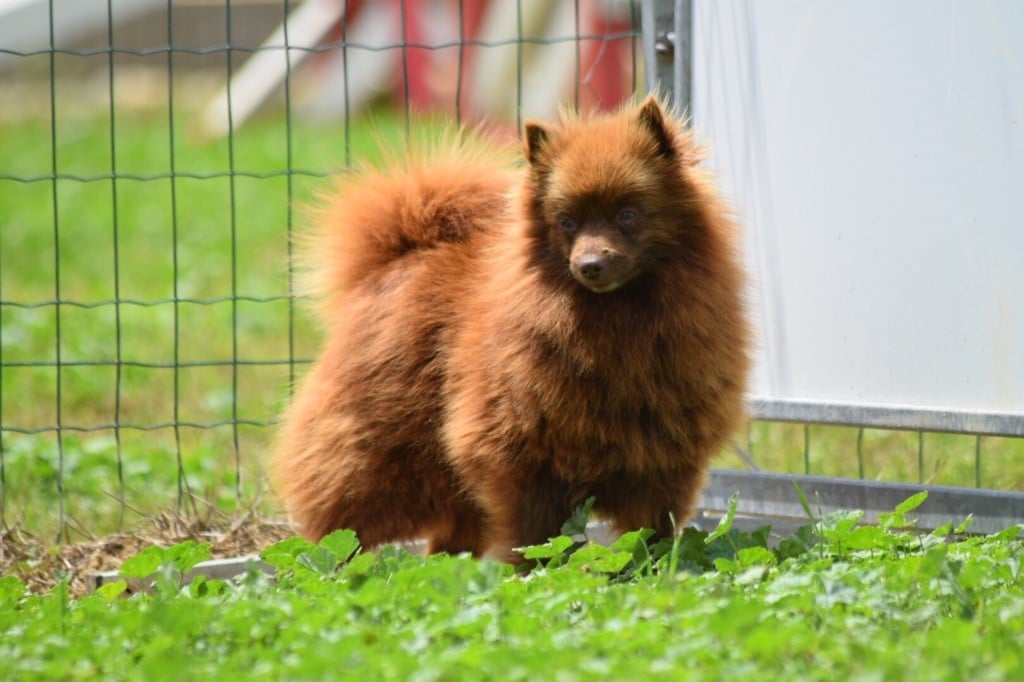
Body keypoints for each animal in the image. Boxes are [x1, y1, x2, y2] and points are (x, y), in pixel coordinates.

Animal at [276, 98, 749, 561]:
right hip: (376, 456)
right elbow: (535, 536)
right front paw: (533, 571)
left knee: (447, 543)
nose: (590, 264)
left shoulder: (663, 462)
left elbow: (651, 534)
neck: (616, 324)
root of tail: (400, 256)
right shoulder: (521, 458)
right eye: (567, 221)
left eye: (629, 214)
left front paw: (654, 567)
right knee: (338, 529)